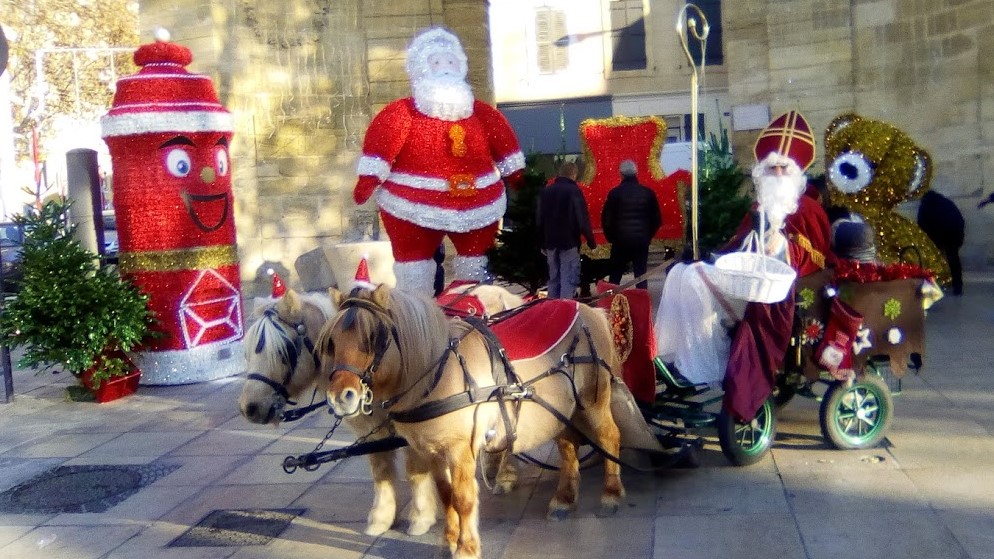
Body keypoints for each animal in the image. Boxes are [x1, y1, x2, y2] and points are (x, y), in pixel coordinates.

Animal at [318, 285, 630, 559]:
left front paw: (466, 548)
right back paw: (564, 499)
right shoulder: (430, 451)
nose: (340, 397)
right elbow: (446, 495)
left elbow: (463, 499)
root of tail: (588, 309)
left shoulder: (460, 451)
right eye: (332, 343)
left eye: (372, 337)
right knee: (567, 446)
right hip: (560, 411)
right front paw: (448, 541)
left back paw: (611, 494)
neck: (438, 374)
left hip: (593, 402)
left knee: (609, 437)